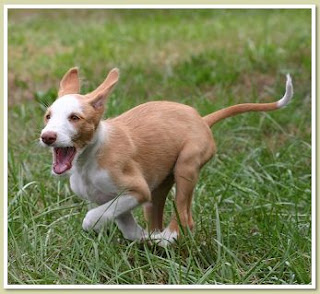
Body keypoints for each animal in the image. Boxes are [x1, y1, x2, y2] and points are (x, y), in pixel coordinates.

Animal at [39, 67, 292, 246]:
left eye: (75, 117)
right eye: (48, 116)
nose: (47, 137)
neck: (89, 159)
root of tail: (202, 119)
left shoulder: (137, 190)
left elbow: (91, 218)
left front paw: (97, 227)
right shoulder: (113, 200)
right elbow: (127, 228)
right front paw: (142, 238)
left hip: (186, 166)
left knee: (185, 218)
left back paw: (168, 238)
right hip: (159, 187)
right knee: (159, 213)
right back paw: (156, 238)